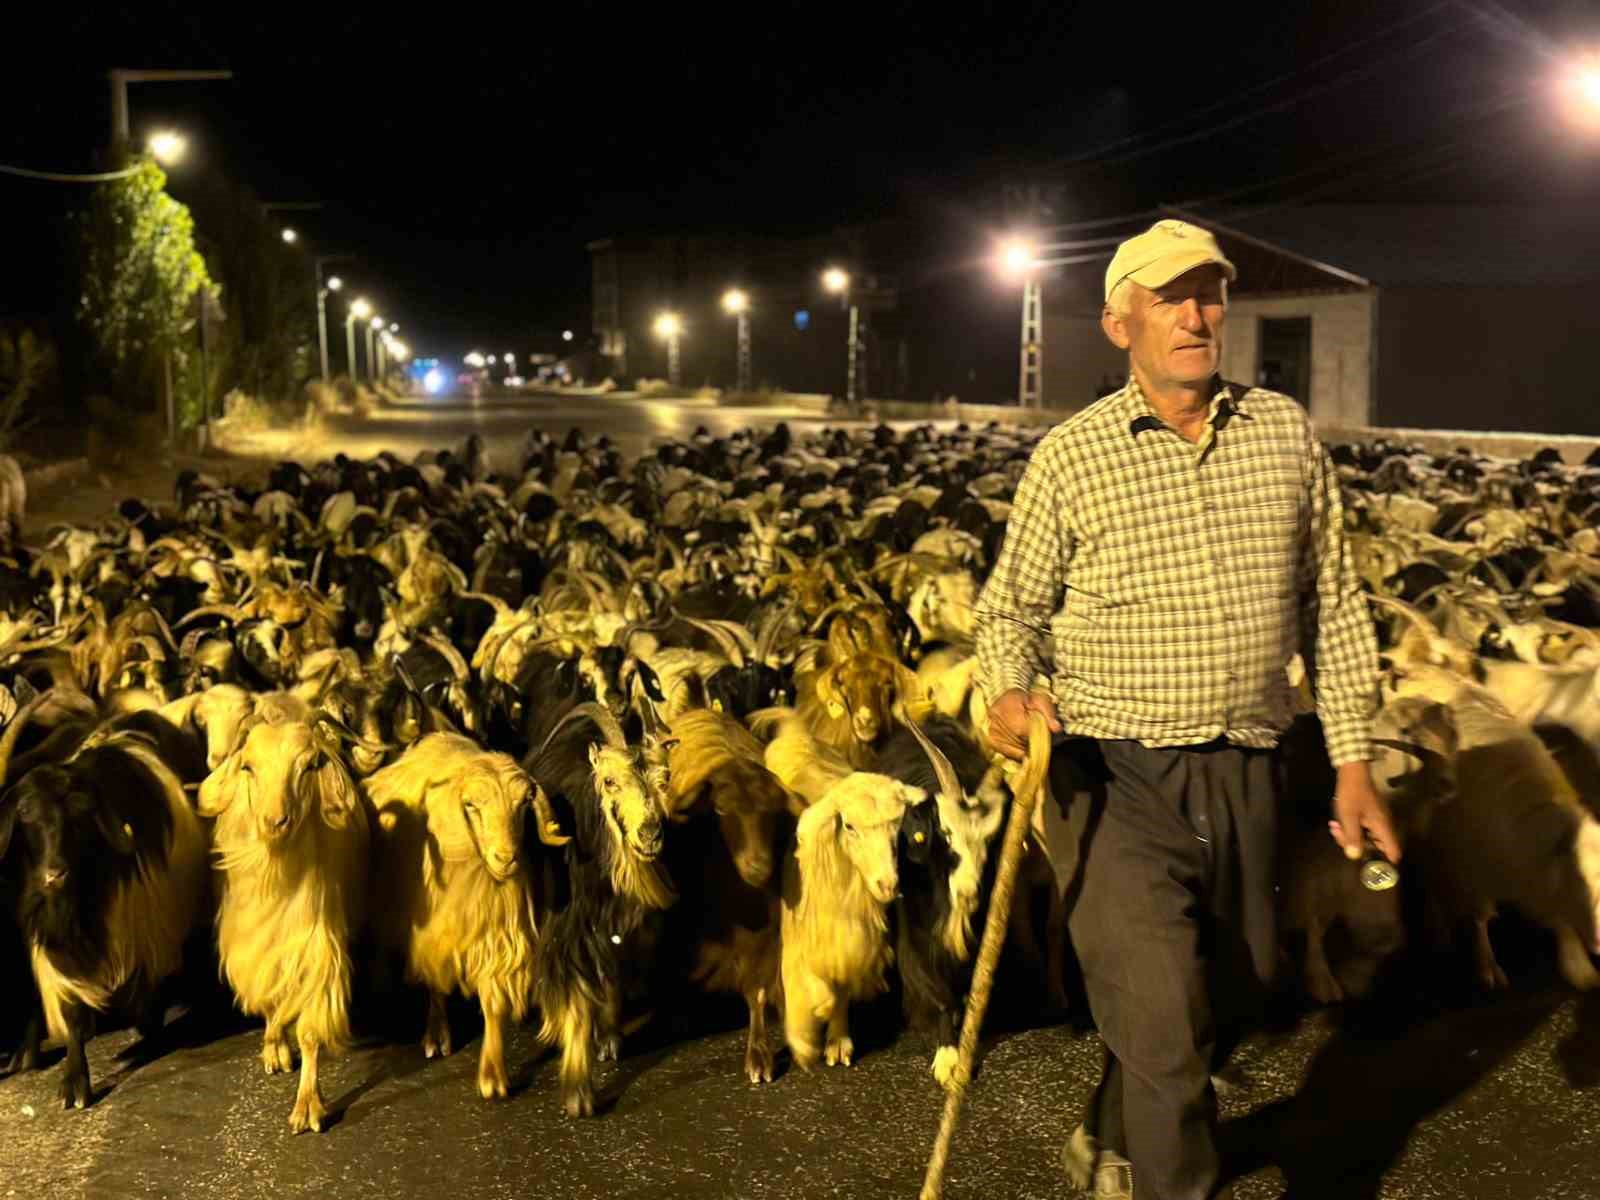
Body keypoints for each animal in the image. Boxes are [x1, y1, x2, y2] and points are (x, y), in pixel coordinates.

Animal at [196, 710, 371, 1132]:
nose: (276, 821)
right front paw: (274, 1050)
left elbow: (308, 1030)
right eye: (248, 766)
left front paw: (308, 1106)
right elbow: (270, 1000)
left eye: (309, 765)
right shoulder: (254, 946)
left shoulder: (315, 950)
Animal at [366, 729, 569, 1107]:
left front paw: (493, 1074)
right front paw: (437, 1034)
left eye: (523, 805)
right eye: (472, 806)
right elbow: (434, 980)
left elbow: (493, 1001)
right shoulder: (432, 931)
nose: (506, 858)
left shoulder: (497, 937)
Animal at [777, 774, 921, 1075]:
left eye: (897, 824)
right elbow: (807, 984)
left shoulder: (853, 946)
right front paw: (803, 1043)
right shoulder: (800, 940)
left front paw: (837, 1041)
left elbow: (840, 991)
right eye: (849, 826)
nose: (888, 885)